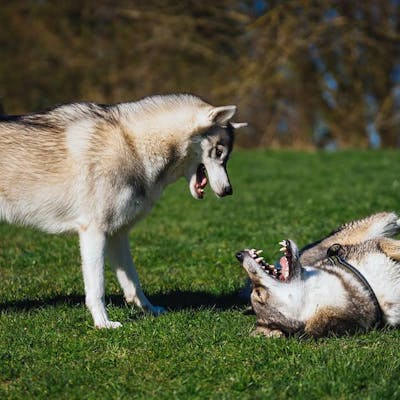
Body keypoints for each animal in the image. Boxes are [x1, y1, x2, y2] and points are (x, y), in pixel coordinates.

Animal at [0, 94, 247, 328]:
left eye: (226, 156)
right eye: (218, 152)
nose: (229, 191)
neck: (133, 147)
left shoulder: (118, 234)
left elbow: (134, 284)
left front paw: (150, 310)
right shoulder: (94, 232)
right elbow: (97, 288)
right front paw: (103, 323)